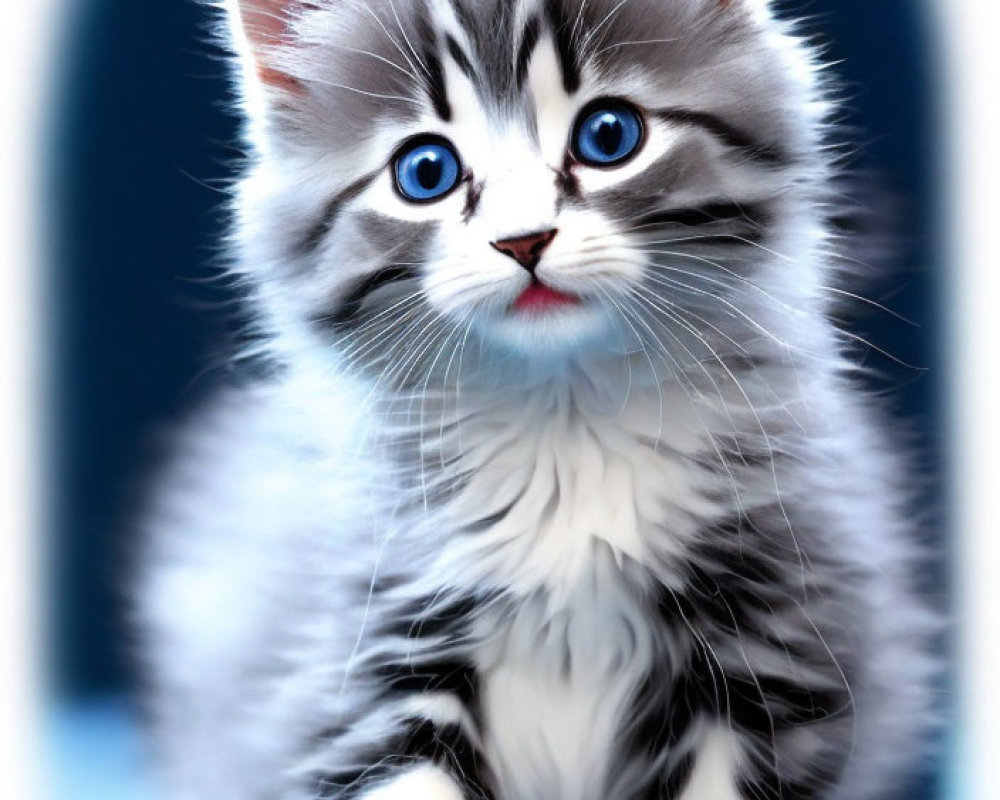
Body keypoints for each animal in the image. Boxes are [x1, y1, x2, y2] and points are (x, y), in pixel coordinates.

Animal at [137, 1, 940, 800]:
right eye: (425, 172)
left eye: (609, 135)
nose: (524, 240)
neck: (566, 427)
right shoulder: (365, 663)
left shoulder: (772, 647)